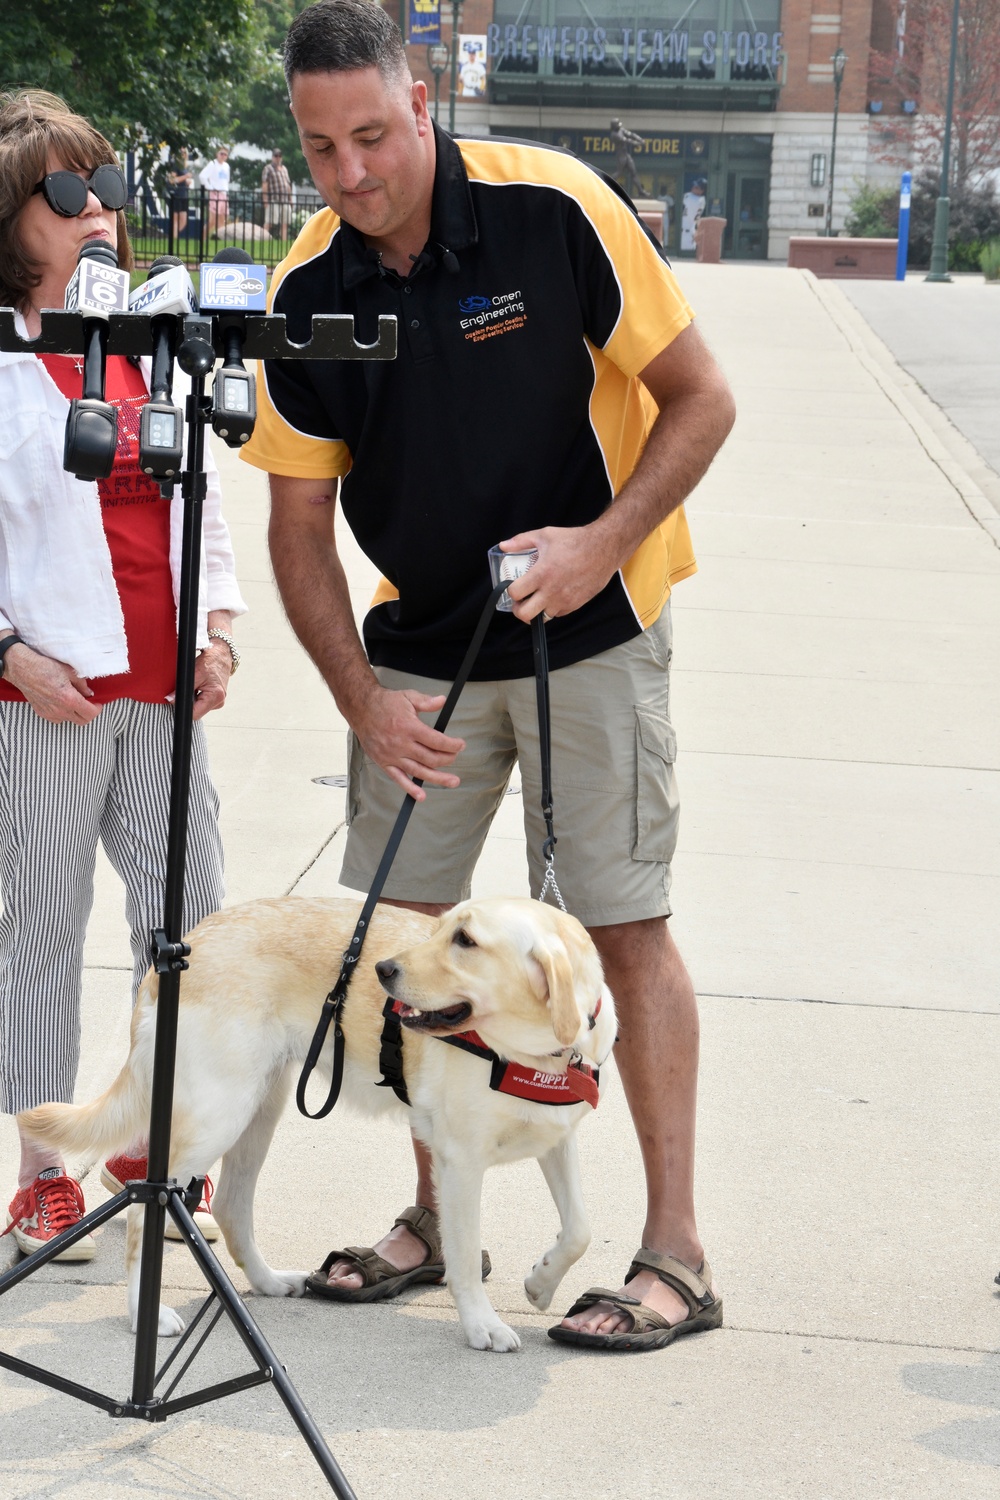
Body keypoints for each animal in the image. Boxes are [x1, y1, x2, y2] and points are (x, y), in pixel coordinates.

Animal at [21, 894, 617, 1356]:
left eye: (465, 940)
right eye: (443, 928)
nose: (383, 971)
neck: (534, 1052)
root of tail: (180, 949)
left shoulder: (558, 1140)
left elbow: (581, 1229)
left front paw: (541, 1284)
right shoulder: (460, 1162)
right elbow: (466, 1257)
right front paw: (483, 1326)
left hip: (260, 1108)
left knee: (232, 1206)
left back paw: (266, 1282)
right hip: (219, 1112)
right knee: (148, 1207)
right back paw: (144, 1313)